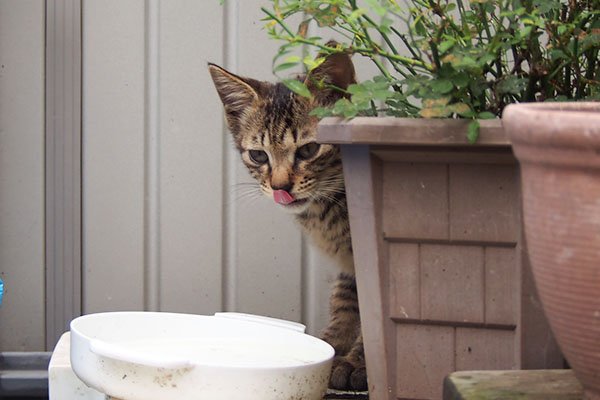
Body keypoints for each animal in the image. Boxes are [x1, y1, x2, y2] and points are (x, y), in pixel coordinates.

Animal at [206, 52, 366, 390]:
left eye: (309, 149)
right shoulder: (350, 266)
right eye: (258, 156)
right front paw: (330, 346)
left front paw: (358, 362)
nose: (280, 187)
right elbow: (345, 301)